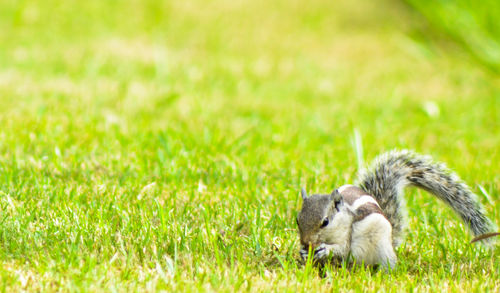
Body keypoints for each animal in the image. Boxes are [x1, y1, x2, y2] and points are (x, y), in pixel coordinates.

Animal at [296, 149, 496, 268]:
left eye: (325, 222)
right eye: (297, 220)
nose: (306, 241)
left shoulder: (349, 235)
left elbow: (342, 249)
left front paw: (325, 249)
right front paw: (304, 252)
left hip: (382, 248)